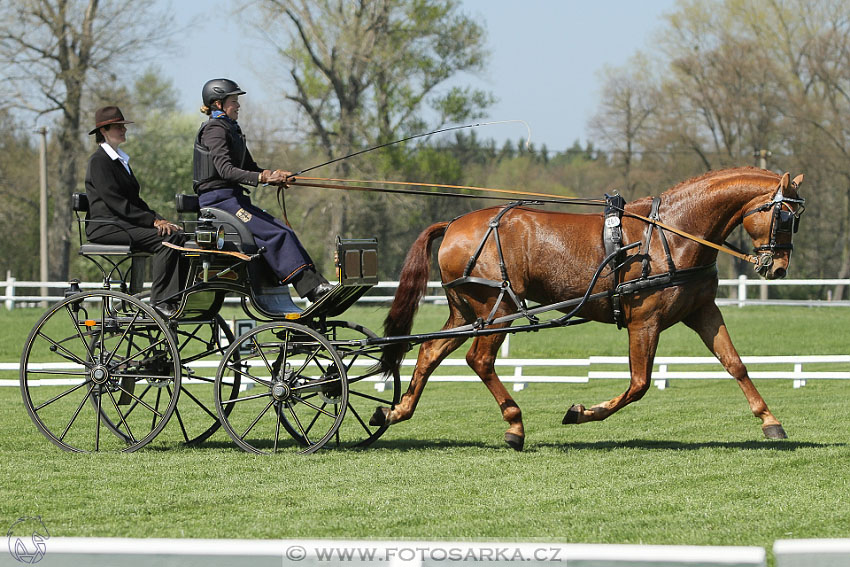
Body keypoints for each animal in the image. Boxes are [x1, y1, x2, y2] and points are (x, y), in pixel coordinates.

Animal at [374, 166, 804, 450]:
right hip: (496, 310)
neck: (672, 232)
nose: (778, 268)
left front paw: (770, 421)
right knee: (479, 360)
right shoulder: (644, 322)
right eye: (784, 217)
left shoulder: (702, 311)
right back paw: (514, 425)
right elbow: (639, 384)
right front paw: (581, 412)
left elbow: (735, 365)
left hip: (468, 313)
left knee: (430, 352)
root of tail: (454, 224)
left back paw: (395, 412)